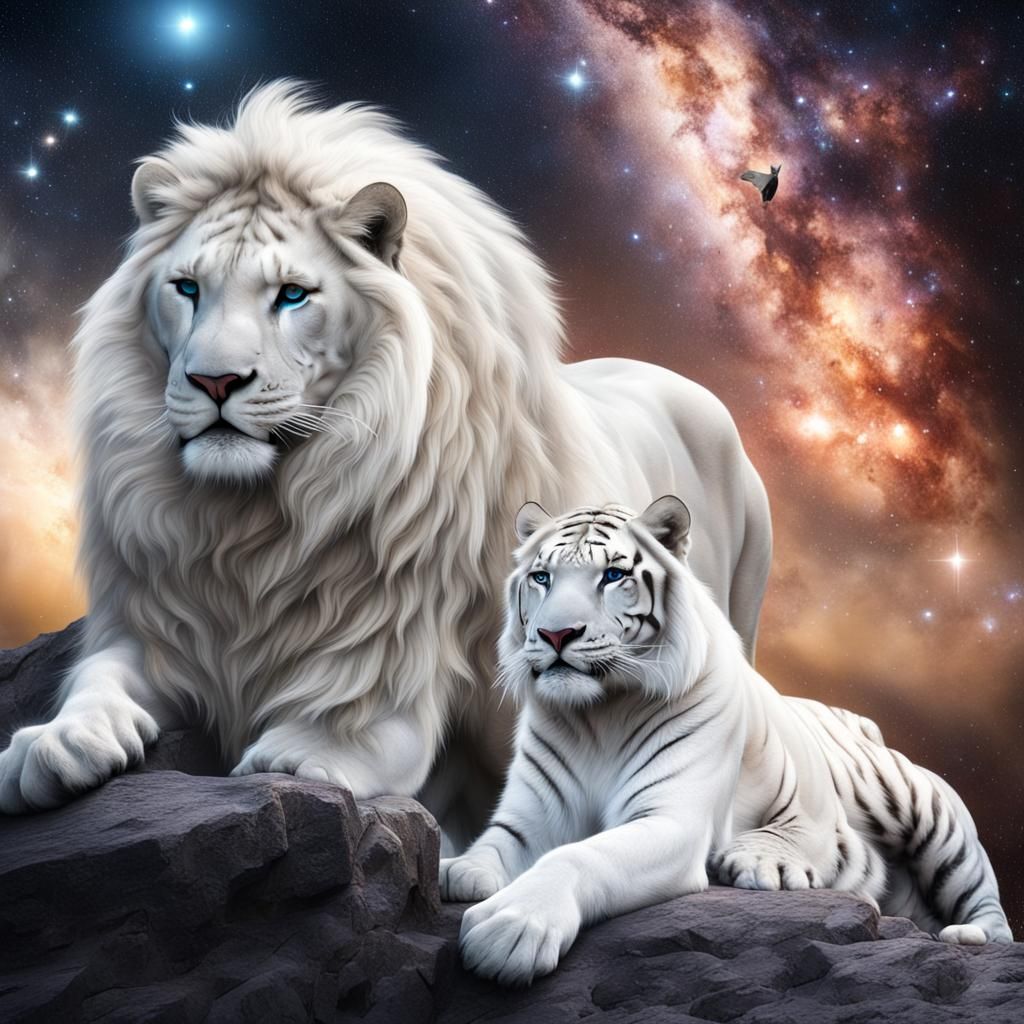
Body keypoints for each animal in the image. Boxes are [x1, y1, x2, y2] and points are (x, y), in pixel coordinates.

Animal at [0, 82, 771, 846]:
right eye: (188, 287)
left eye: (292, 294)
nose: (215, 382)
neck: (254, 518)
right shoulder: (160, 619)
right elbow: (99, 678)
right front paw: (51, 745)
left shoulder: (398, 632)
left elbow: (358, 704)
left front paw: (301, 754)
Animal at [439, 497, 1013, 986]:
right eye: (542, 577)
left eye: (612, 575)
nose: (556, 635)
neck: (598, 714)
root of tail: (859, 720)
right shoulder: (533, 815)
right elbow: (494, 845)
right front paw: (460, 872)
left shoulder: (670, 821)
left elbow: (580, 856)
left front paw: (511, 927)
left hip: (926, 810)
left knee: (989, 904)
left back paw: (965, 934)